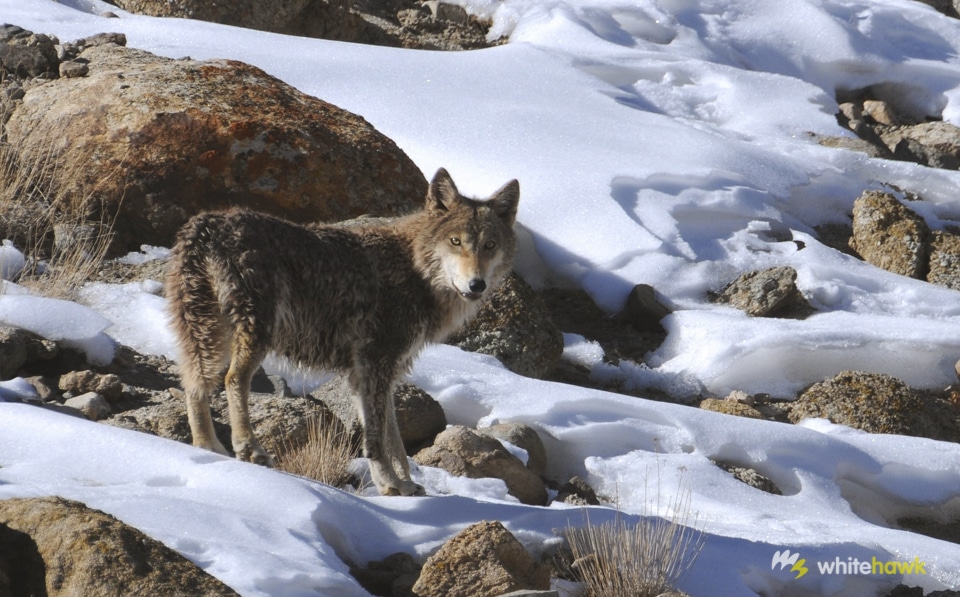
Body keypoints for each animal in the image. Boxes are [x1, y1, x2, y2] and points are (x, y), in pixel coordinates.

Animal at [169, 168, 520, 494]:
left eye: (489, 245)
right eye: (456, 242)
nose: (477, 285)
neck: (416, 271)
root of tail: (209, 223)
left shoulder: (375, 373)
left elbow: (394, 440)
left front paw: (405, 486)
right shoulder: (374, 364)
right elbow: (376, 438)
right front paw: (389, 484)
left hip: (203, 335)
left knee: (194, 384)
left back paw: (208, 449)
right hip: (253, 333)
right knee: (232, 380)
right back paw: (249, 449)